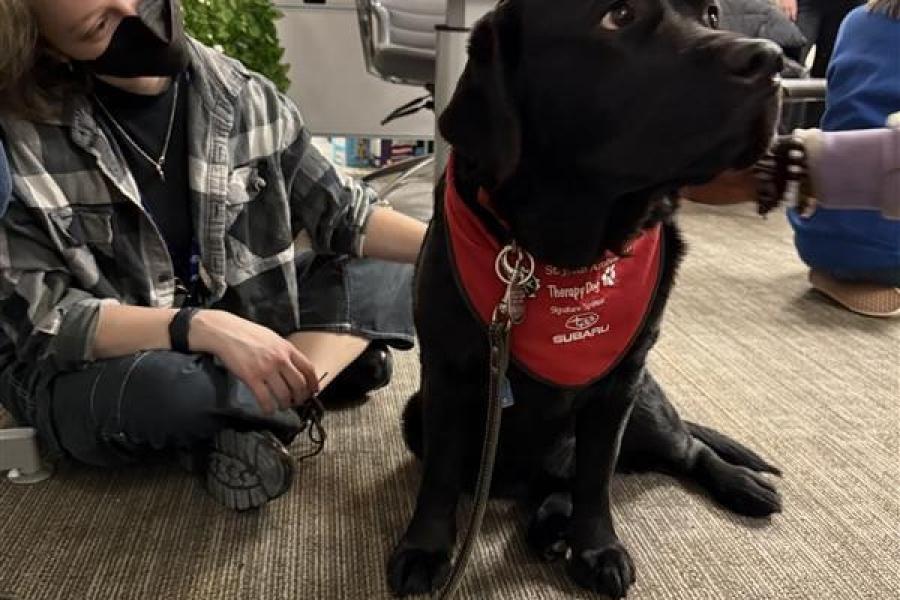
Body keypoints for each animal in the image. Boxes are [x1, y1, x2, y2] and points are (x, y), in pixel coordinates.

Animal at [388, 0, 784, 597]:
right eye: (618, 15)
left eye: (713, 13)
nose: (772, 61)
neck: (559, 253)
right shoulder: (447, 376)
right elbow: (440, 477)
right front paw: (424, 549)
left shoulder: (619, 385)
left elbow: (597, 481)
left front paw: (598, 546)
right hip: (417, 415)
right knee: (551, 484)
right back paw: (550, 527)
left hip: (645, 406)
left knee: (684, 449)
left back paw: (739, 484)